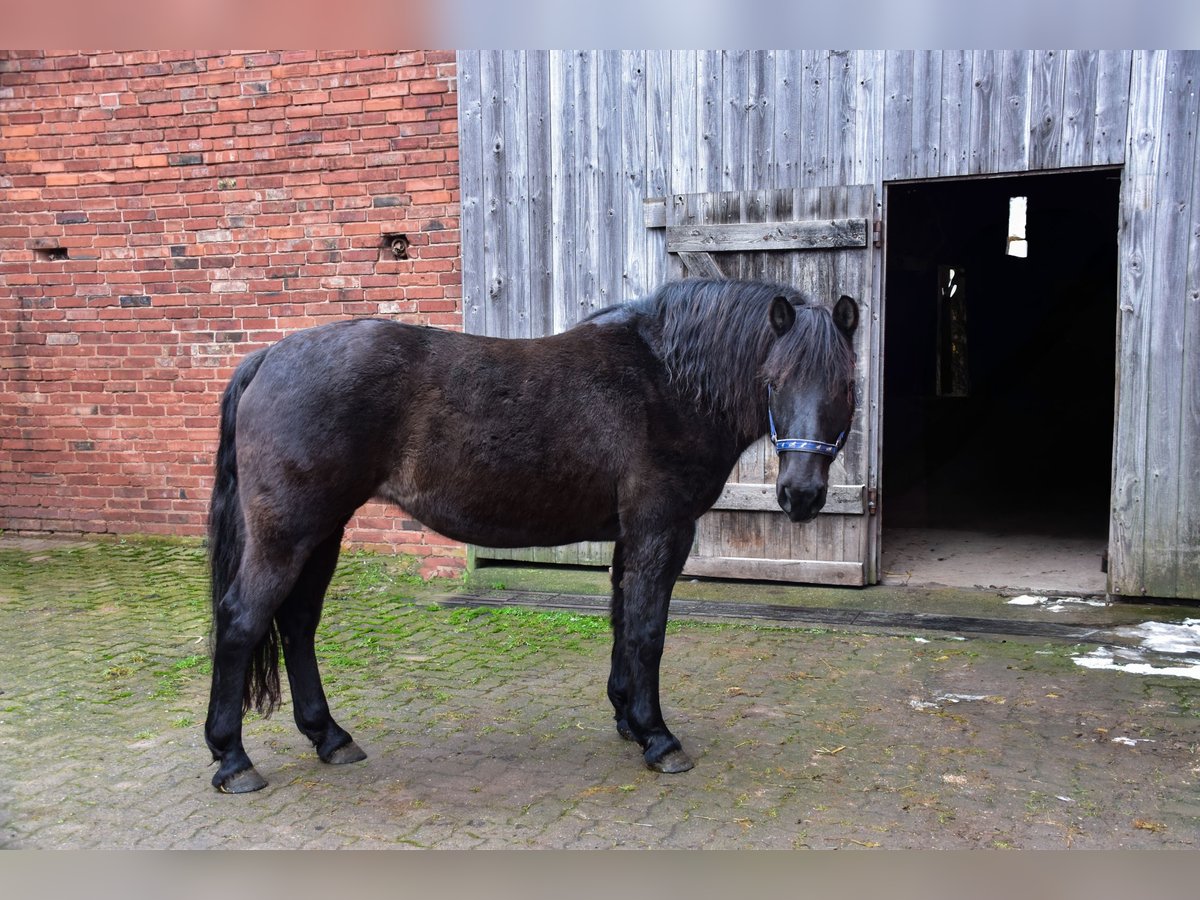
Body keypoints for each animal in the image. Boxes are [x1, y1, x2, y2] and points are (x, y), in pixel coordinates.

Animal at [201, 278, 854, 792]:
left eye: (845, 385)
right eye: (774, 381)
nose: (801, 495)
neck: (665, 382)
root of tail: (269, 357)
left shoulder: (630, 535)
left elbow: (621, 620)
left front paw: (627, 719)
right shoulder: (662, 529)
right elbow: (647, 631)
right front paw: (659, 738)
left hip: (323, 531)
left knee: (297, 623)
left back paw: (330, 737)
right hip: (290, 531)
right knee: (241, 621)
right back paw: (233, 760)